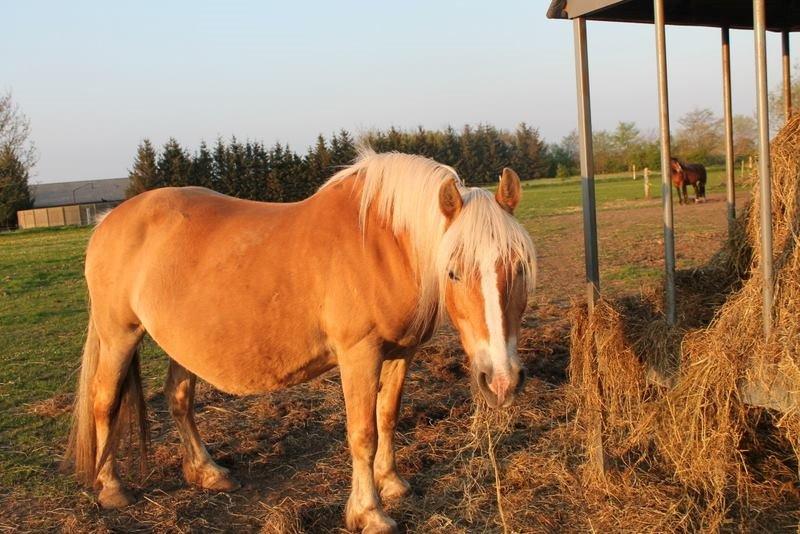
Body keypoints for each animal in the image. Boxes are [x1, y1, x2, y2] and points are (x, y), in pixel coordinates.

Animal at [64, 152, 536, 534]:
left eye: (518, 267)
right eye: (453, 271)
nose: (501, 380)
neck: (383, 244)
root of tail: (108, 222)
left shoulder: (401, 353)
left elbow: (387, 418)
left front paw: (392, 483)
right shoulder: (359, 354)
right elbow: (362, 433)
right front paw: (370, 513)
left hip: (182, 343)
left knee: (178, 398)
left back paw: (208, 472)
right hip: (119, 335)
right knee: (105, 401)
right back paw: (112, 488)